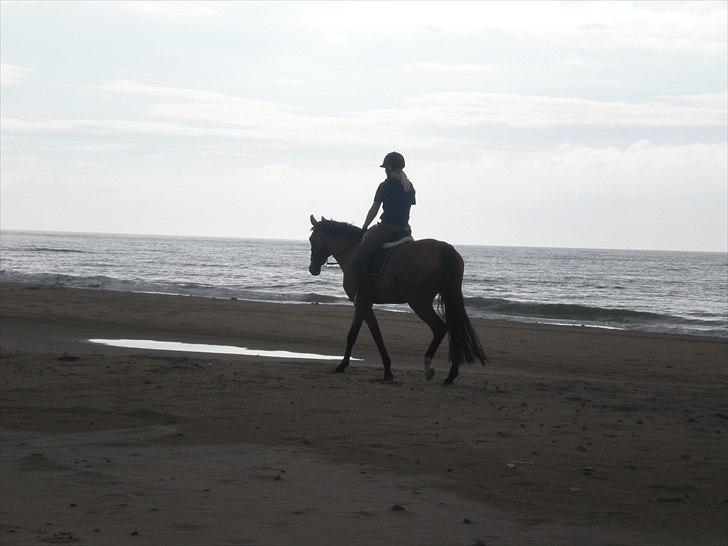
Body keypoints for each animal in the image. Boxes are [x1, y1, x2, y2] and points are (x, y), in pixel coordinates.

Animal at [308, 212, 490, 382]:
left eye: (311, 239)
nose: (312, 268)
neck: (352, 253)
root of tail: (443, 248)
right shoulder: (361, 304)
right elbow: (352, 335)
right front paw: (342, 365)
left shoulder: (363, 304)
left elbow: (376, 335)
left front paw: (387, 370)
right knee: (454, 330)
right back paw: (451, 375)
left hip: (419, 302)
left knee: (440, 328)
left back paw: (429, 367)